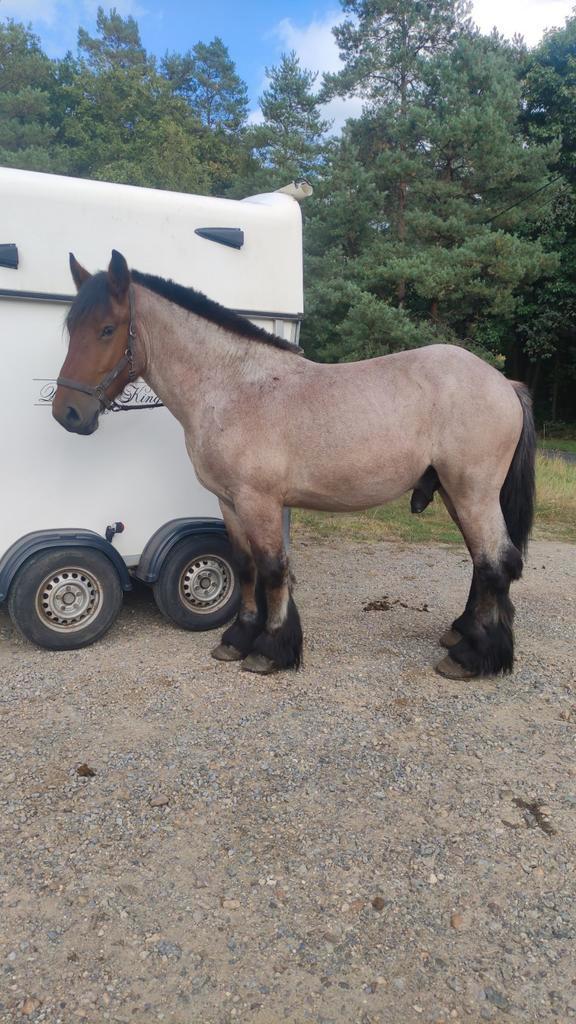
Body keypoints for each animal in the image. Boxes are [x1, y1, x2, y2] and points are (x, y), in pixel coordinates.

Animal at [52, 250, 536, 680]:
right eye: (72, 328)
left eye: (107, 329)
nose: (68, 413)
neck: (233, 388)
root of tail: (503, 382)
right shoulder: (229, 502)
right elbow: (246, 566)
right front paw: (237, 639)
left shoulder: (260, 501)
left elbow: (272, 569)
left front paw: (271, 649)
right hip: (457, 494)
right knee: (481, 561)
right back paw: (463, 633)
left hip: (473, 492)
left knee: (496, 561)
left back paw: (473, 656)